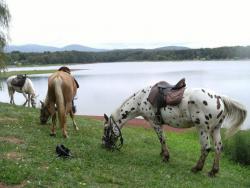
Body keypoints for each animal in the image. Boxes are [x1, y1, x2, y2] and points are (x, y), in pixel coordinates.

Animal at [102, 79, 247, 176]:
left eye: (105, 129)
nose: (104, 145)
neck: (141, 99)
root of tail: (219, 97)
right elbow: (161, 139)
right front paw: (162, 154)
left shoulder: (155, 122)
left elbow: (162, 139)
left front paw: (166, 157)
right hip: (215, 129)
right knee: (218, 147)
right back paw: (213, 171)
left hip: (202, 129)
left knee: (206, 148)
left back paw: (196, 168)